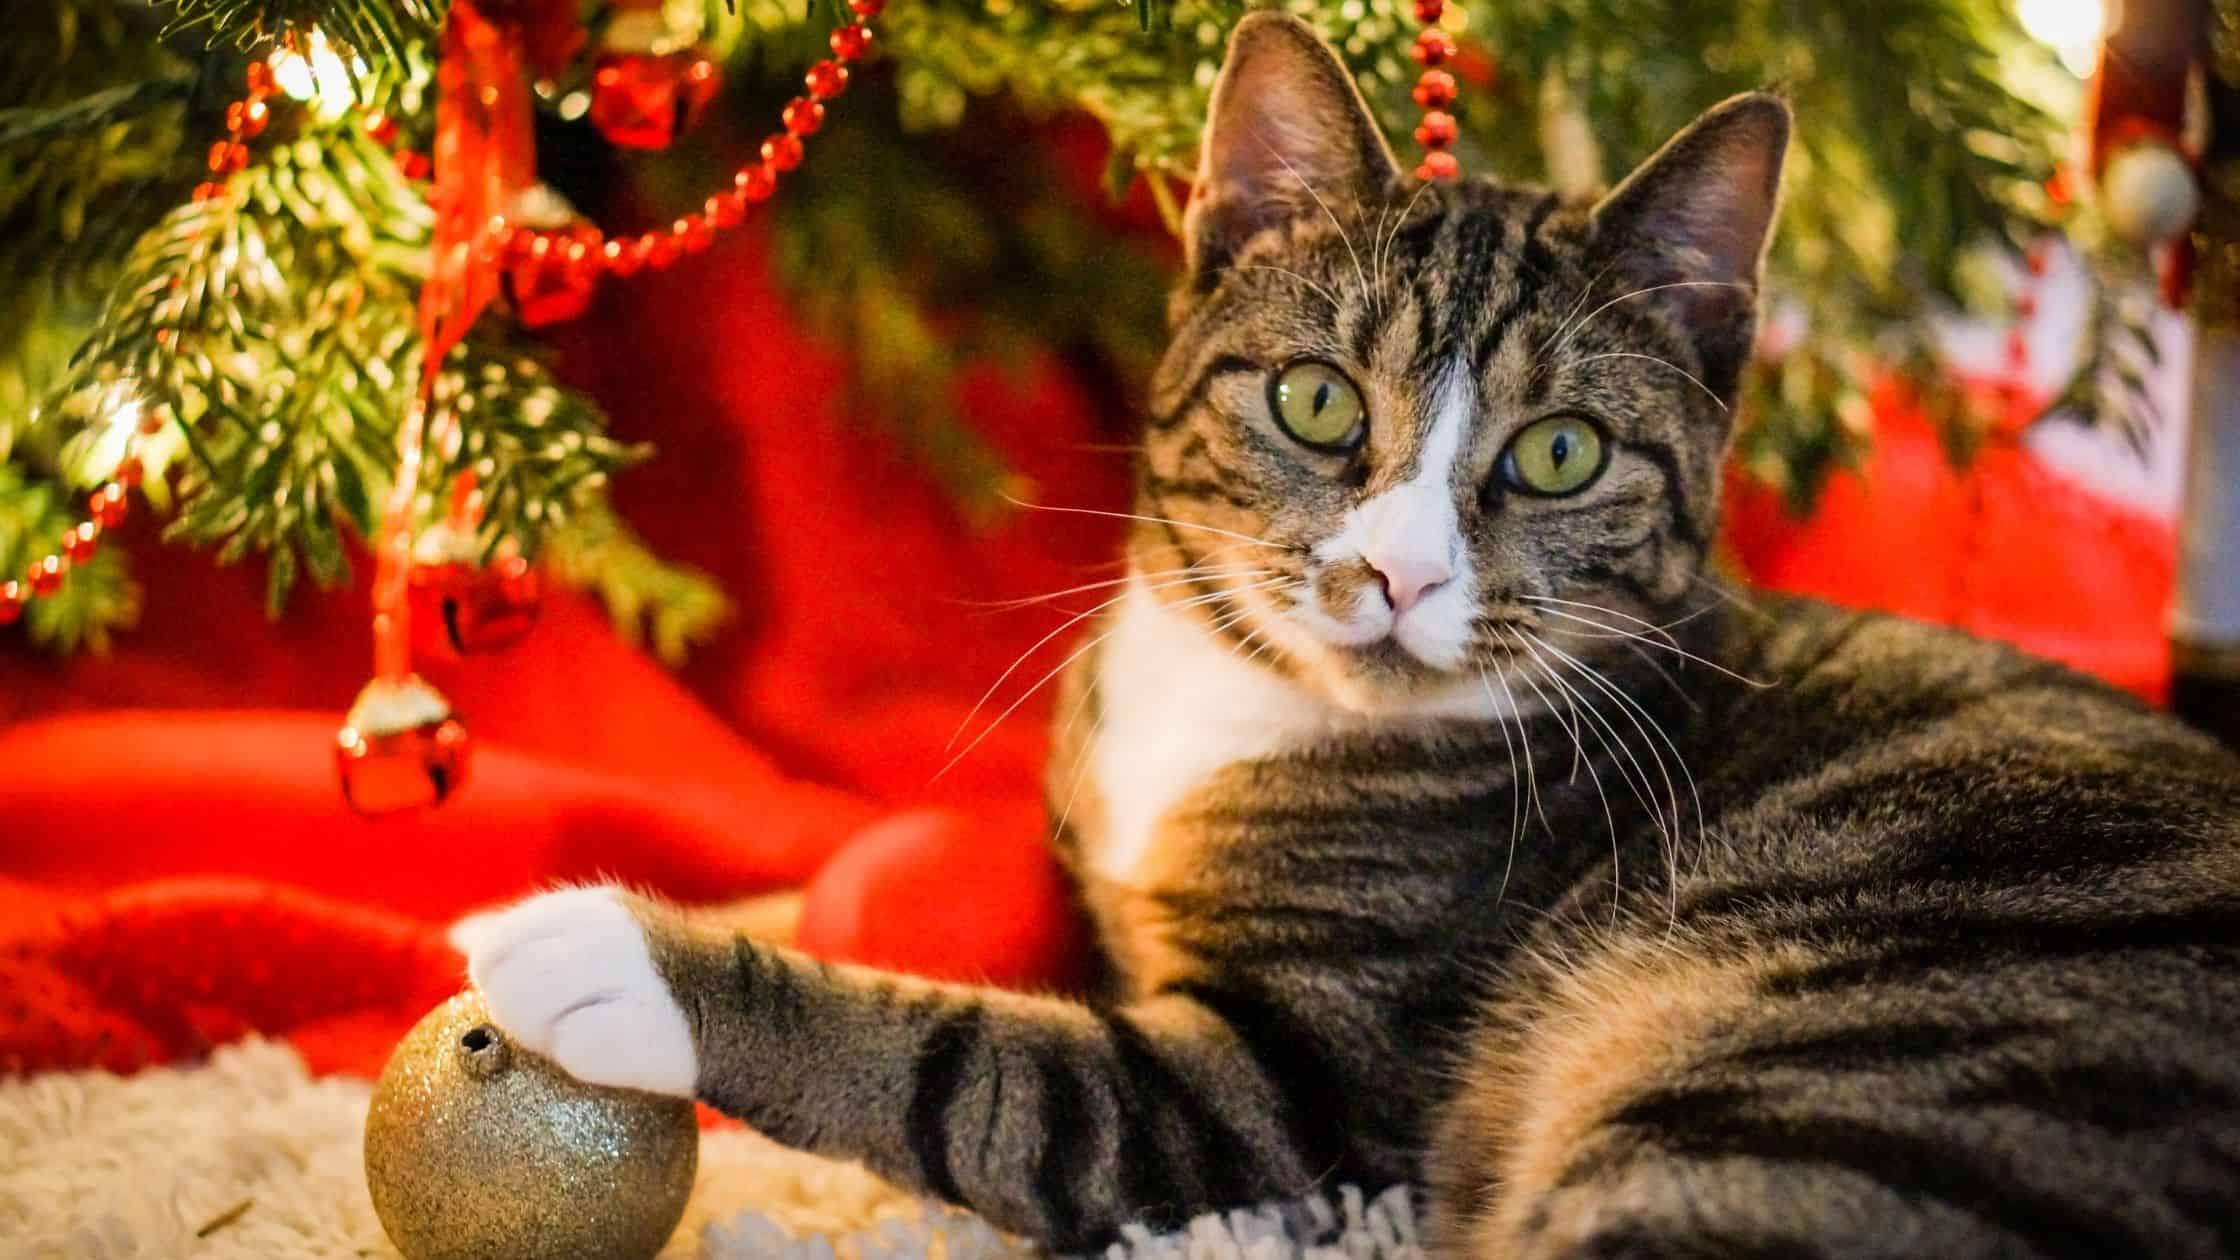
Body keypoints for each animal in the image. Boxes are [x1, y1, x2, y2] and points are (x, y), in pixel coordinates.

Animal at [454, 14, 2240, 1246]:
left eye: (1559, 453)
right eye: (1317, 402)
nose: (1398, 573)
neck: (1232, 702)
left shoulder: (1274, 1076)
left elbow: (971, 1062)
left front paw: (608, 950)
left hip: (1814, 1098)